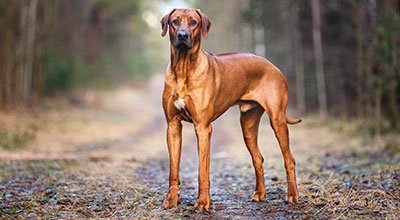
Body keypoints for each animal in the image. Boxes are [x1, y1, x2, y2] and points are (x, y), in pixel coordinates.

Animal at [159, 8, 300, 211]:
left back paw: (292, 195)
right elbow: (173, 170)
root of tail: (273, 66)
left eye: (193, 22)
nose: (182, 35)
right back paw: (260, 194)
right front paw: (171, 200)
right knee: (258, 158)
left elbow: (202, 171)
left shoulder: (203, 128)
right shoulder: (172, 126)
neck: (183, 68)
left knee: (289, 159)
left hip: (277, 119)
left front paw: (202, 202)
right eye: (175, 21)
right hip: (248, 124)